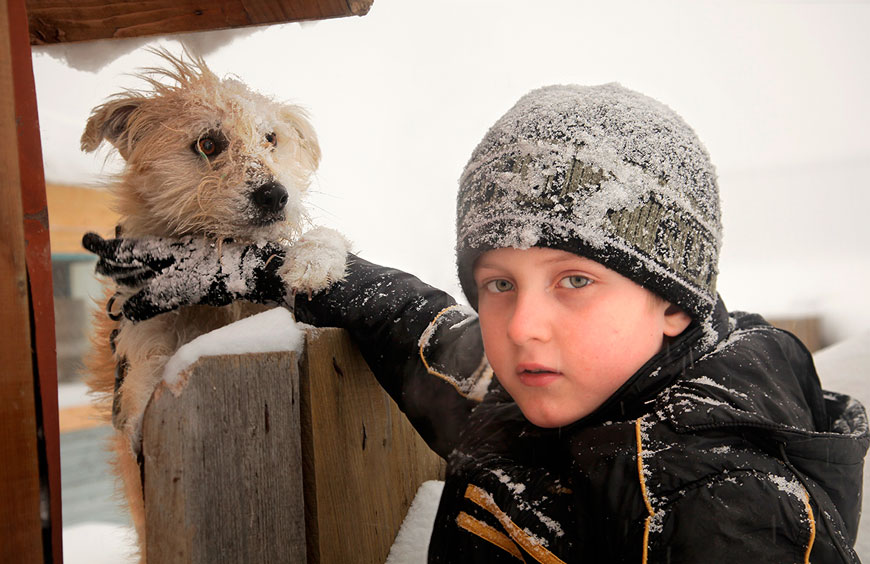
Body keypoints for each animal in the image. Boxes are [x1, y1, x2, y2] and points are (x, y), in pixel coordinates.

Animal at [81, 49, 348, 560]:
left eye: (271, 138)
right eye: (208, 143)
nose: (275, 195)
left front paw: (315, 259)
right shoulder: (139, 326)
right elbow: (147, 360)